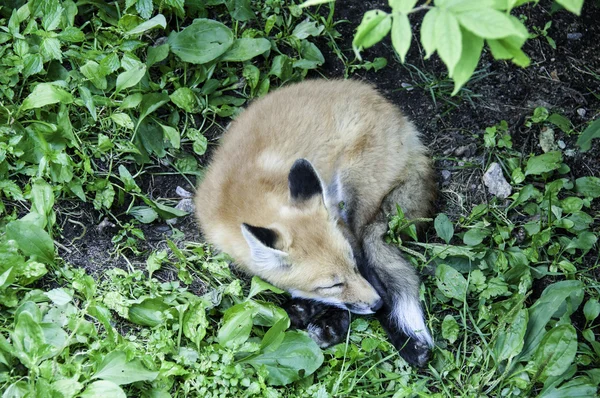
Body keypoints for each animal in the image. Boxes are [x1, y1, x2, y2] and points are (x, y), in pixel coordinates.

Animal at [196, 78, 436, 366]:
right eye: (332, 284)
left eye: (353, 266)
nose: (377, 305)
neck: (239, 197)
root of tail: (399, 118)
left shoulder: (341, 226)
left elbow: (372, 280)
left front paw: (406, 342)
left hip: (352, 193)